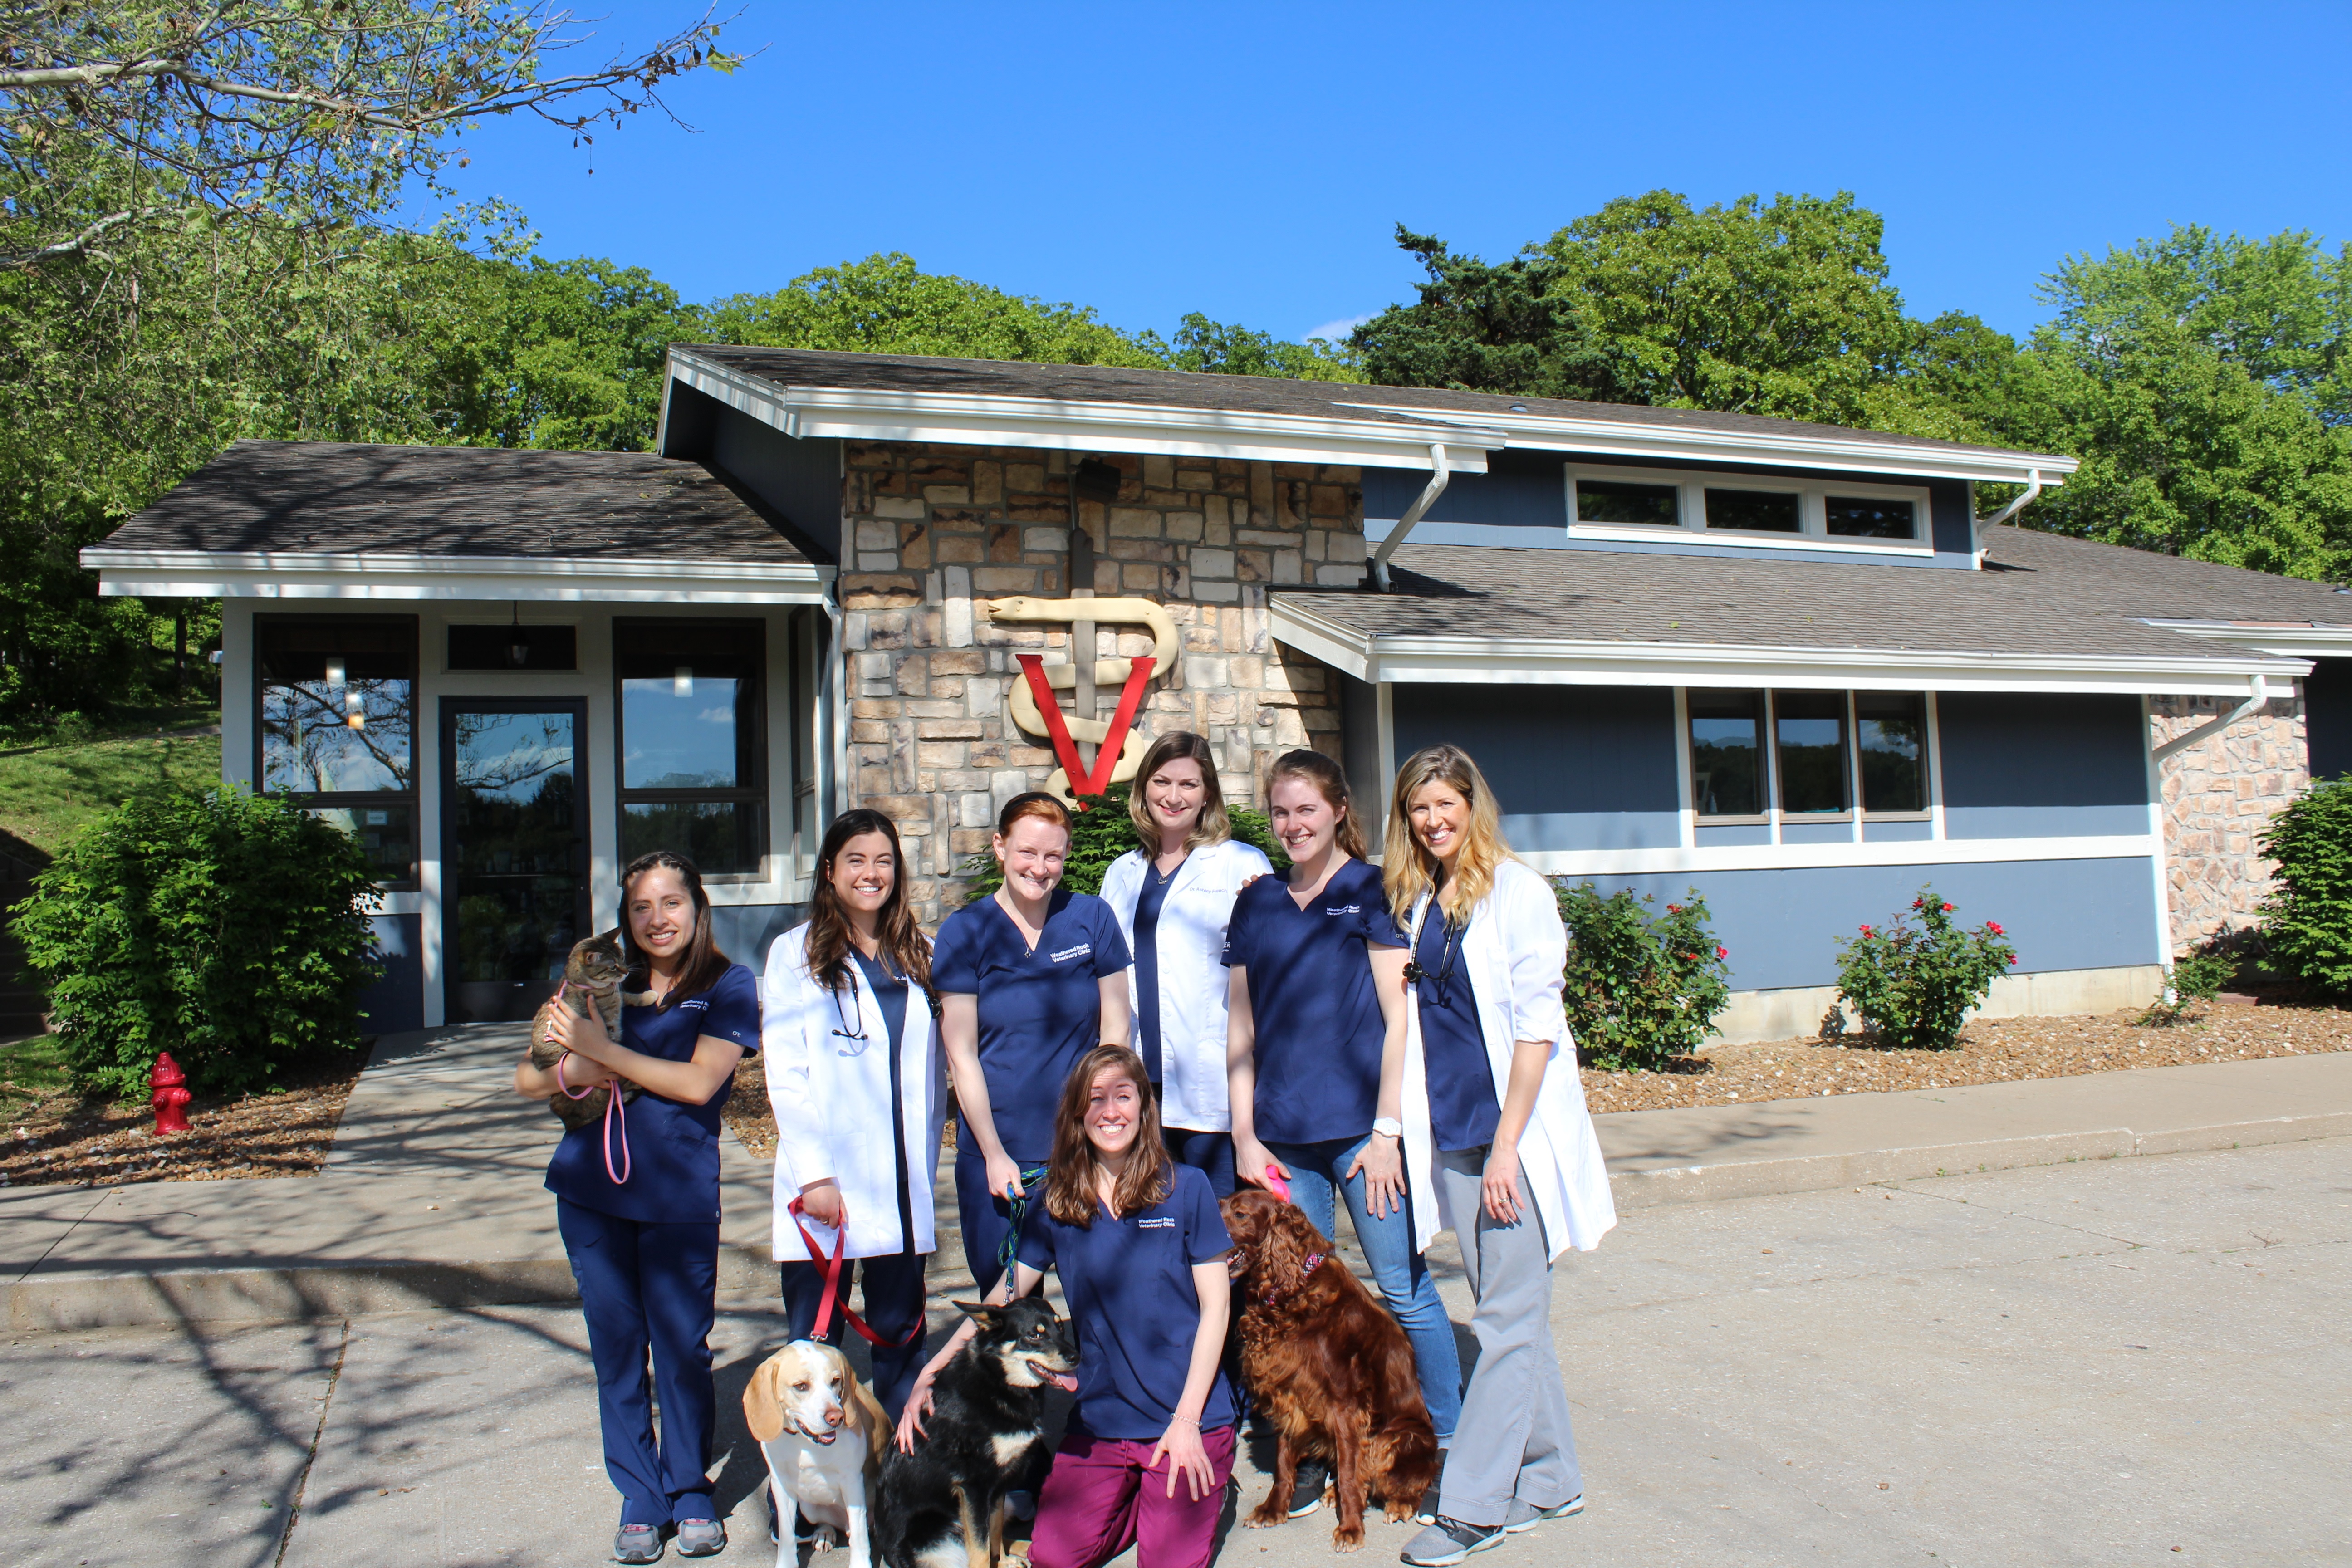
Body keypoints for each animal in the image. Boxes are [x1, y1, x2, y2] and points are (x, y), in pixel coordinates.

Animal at [528, 928, 652, 1134]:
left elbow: (626, 996)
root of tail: (567, 1121)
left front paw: (647, 996)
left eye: (623, 958)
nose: (627, 971)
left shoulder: (617, 996)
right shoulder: (608, 1031)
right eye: (613, 967)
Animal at [744, 1339, 892, 1568]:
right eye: (801, 1386)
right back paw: (824, 1533)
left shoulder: (852, 1481)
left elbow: (859, 1537)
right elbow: (787, 1534)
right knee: (827, 1523)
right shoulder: (781, 1484)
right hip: (808, 1506)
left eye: (836, 1381)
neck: (804, 1443)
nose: (837, 1417)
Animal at [875, 1298, 1078, 1568]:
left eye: (1061, 1328)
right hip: (934, 1534)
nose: (1076, 1357)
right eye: (1035, 1335)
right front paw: (997, 1561)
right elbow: (981, 1550)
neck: (998, 1383)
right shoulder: (974, 1487)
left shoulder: (999, 1485)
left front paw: (1003, 1560)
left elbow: (995, 1531)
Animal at [1220, 1188, 1441, 1551]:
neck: (1294, 1291)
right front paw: (1273, 1510)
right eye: (1220, 1205)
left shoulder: (1346, 1405)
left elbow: (1351, 1473)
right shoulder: (1286, 1390)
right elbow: (1284, 1463)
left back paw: (1399, 1504)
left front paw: (1350, 1528)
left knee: (1411, 1478)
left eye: (1240, 1214)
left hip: (1400, 1436)